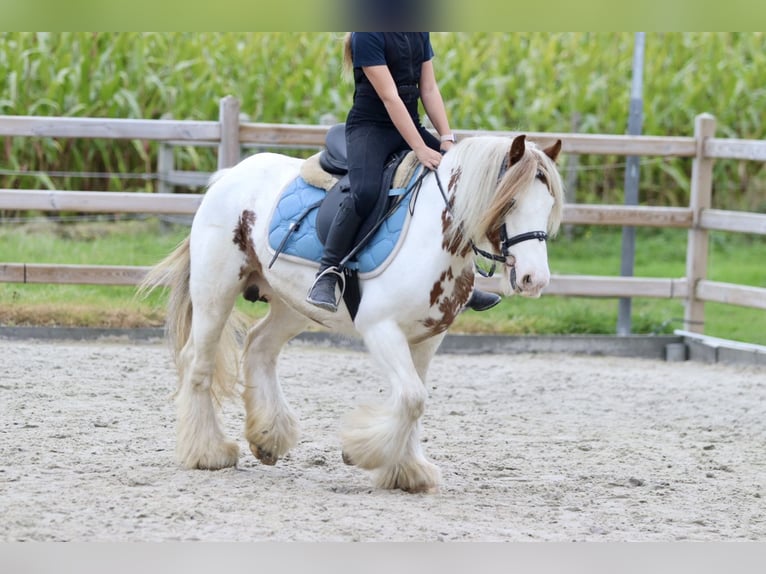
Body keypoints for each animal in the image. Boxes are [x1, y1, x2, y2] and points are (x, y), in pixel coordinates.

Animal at [141, 134, 568, 496]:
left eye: (548, 206)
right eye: (509, 203)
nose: (534, 279)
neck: (433, 237)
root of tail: (229, 175)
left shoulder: (428, 338)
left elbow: (415, 400)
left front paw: (406, 470)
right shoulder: (381, 329)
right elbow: (412, 398)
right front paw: (362, 452)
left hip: (294, 305)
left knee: (259, 346)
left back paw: (267, 439)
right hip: (216, 290)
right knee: (199, 363)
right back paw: (208, 452)